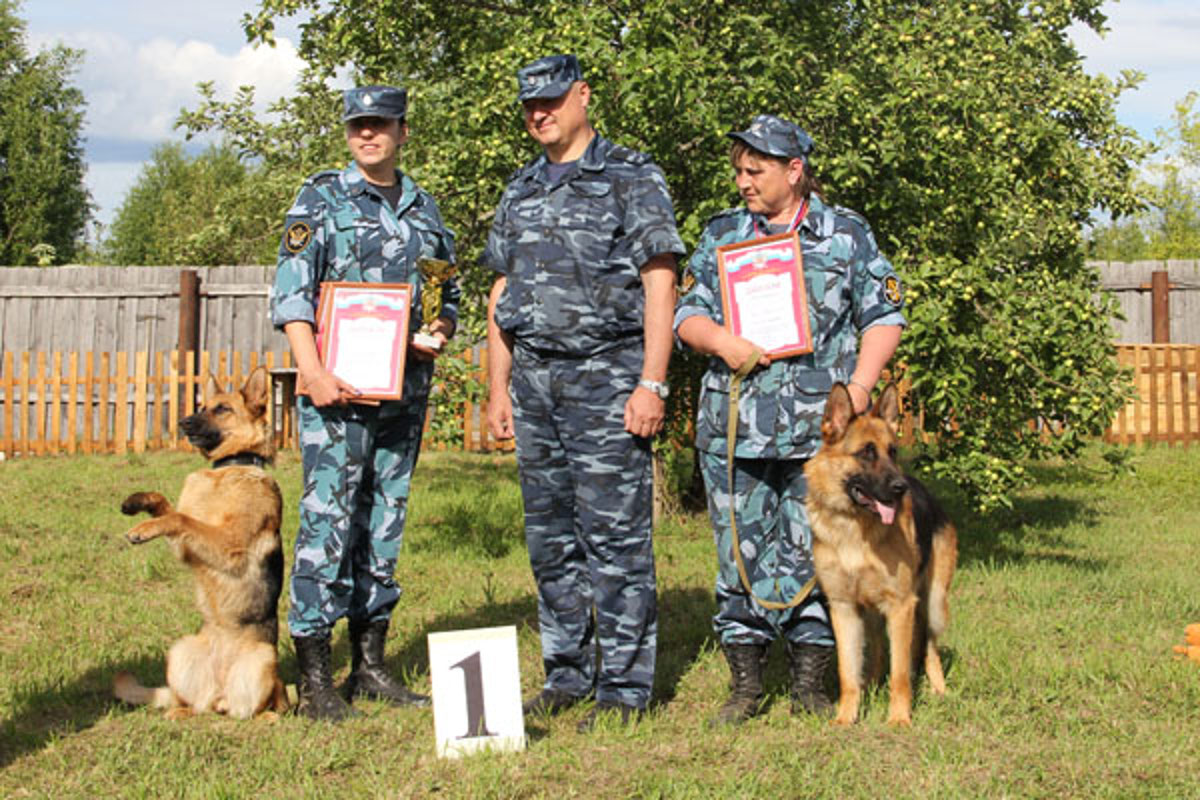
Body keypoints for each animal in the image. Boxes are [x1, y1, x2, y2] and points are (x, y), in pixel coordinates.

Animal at [112, 367, 290, 719]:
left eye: (222, 409)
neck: (230, 467)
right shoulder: (186, 547)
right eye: (202, 406)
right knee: (196, 705)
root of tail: (221, 691)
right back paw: (178, 713)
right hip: (181, 649)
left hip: (263, 660)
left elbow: (182, 519)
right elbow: (168, 507)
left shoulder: (229, 545)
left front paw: (143, 527)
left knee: (258, 707)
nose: (183, 422)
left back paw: (270, 717)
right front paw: (139, 504)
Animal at [801, 381, 960, 724]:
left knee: (928, 646)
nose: (901, 488)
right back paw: (872, 684)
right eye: (866, 452)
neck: (854, 528)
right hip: (873, 612)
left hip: (932, 601)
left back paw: (939, 689)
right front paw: (846, 718)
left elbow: (900, 674)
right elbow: (848, 673)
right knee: (876, 649)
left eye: (893, 451)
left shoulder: (901, 606)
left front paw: (899, 719)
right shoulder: (844, 608)